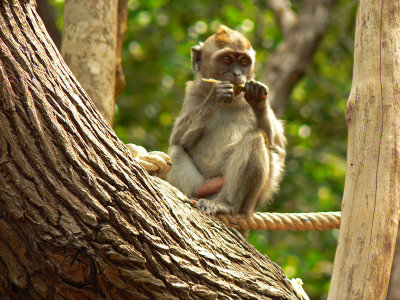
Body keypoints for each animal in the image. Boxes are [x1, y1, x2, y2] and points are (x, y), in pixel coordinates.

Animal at [167, 25, 286, 216]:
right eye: (228, 59)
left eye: (244, 61)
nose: (237, 74)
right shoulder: (193, 93)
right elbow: (177, 139)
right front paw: (216, 94)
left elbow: (277, 150)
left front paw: (257, 98)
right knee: (175, 151)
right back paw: (194, 193)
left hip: (244, 199)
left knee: (255, 138)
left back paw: (227, 204)